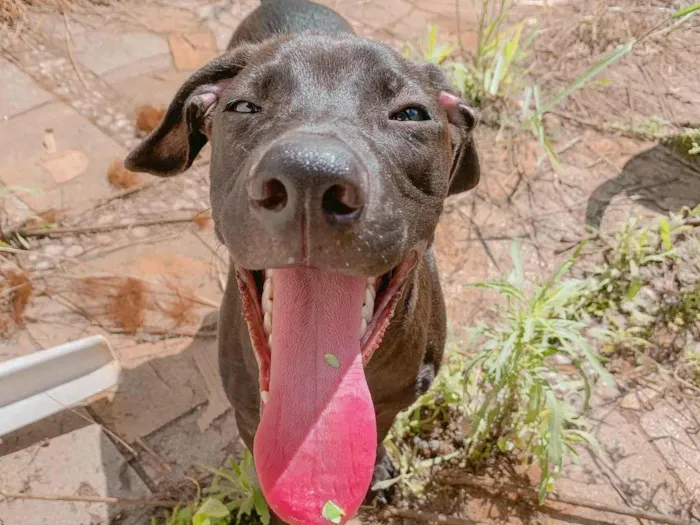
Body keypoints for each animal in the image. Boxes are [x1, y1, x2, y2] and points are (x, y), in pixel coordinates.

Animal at [123, 2, 478, 520]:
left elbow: (379, 430)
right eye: (243, 106)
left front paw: (379, 466)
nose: (311, 175)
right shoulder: (249, 414)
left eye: (411, 114)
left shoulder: (396, 398)